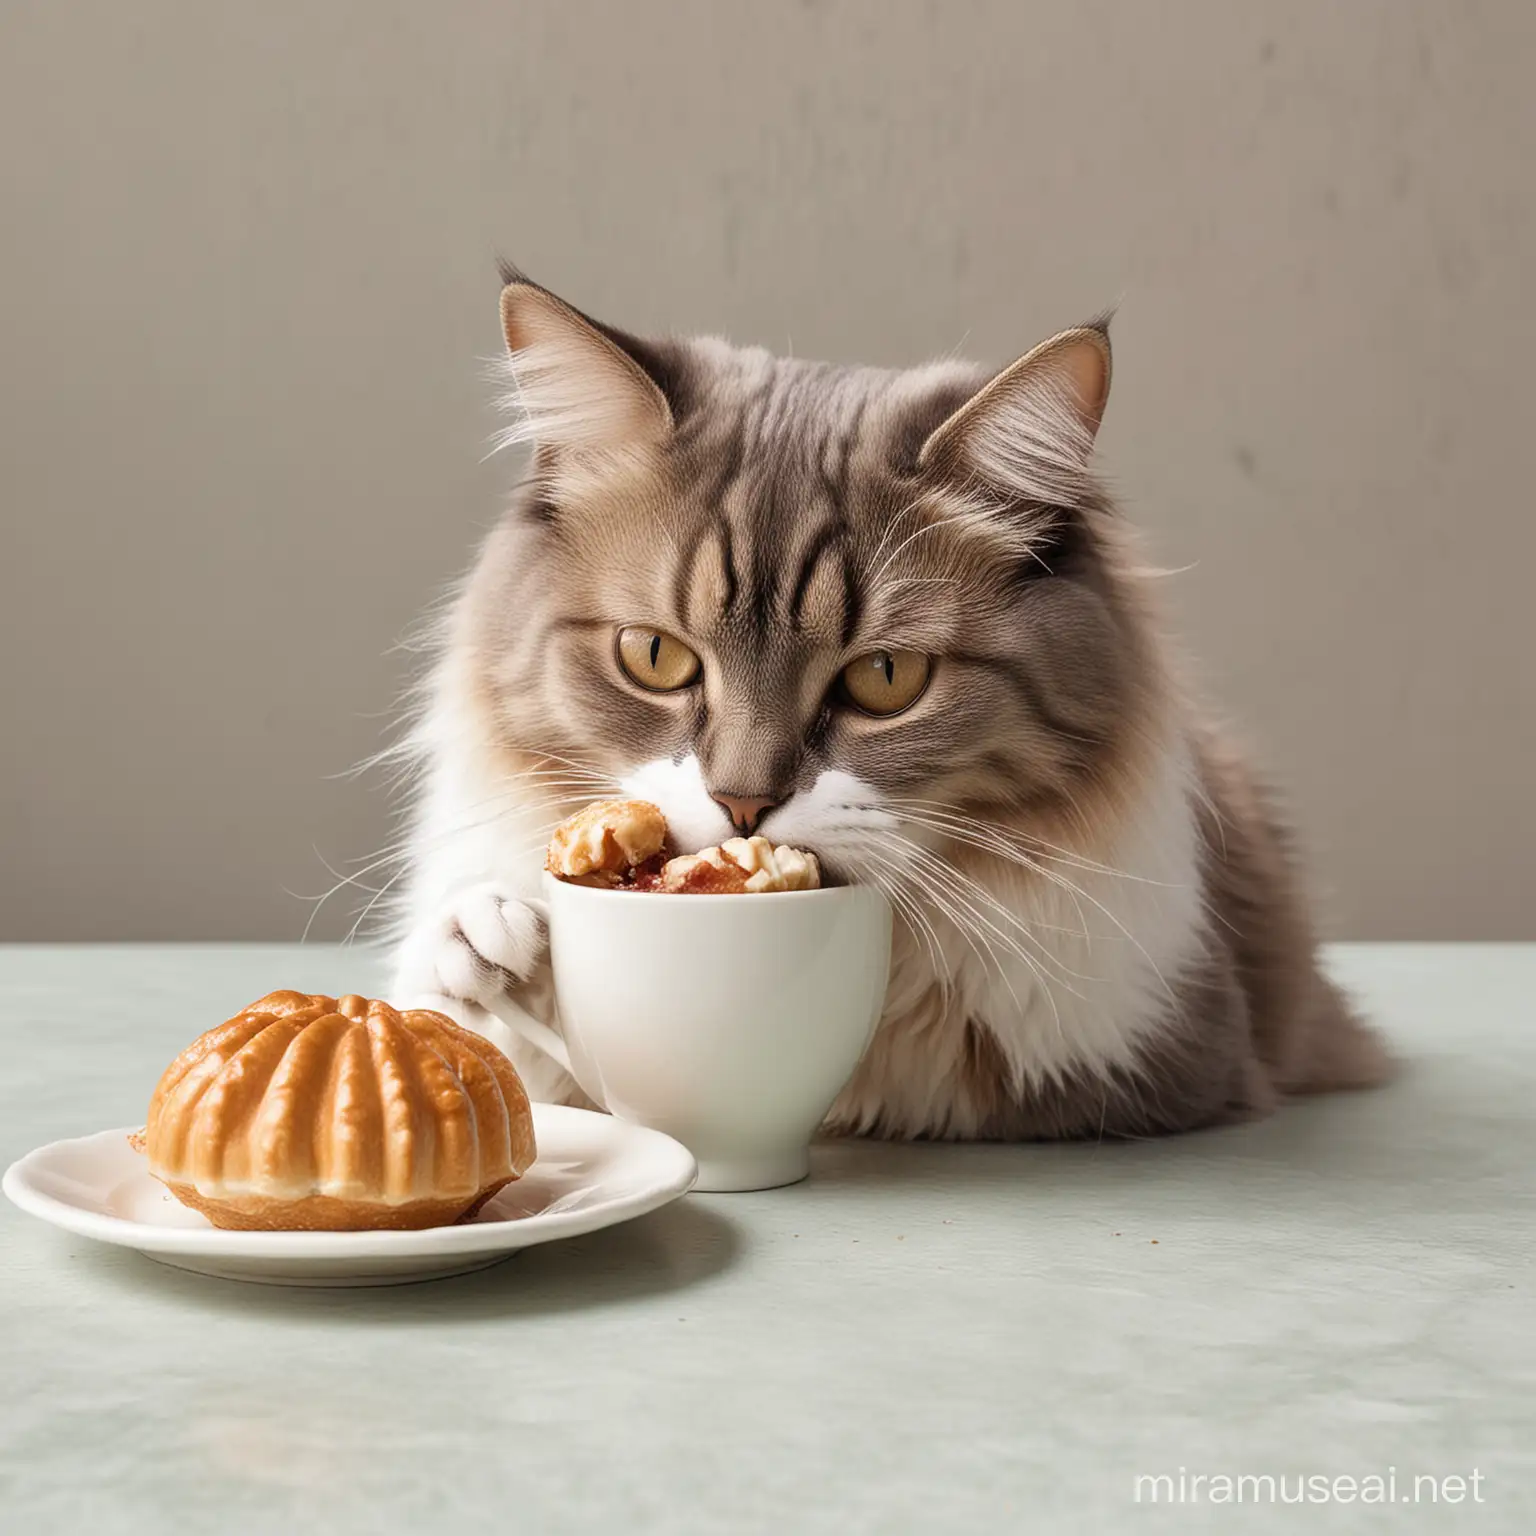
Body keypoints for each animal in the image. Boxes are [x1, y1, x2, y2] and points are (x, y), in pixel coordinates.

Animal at [387, 270, 1394, 1142]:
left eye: (885, 679)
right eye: (656, 657)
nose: (743, 806)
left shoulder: (1154, 1057)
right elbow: (477, 1033)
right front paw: (484, 937)